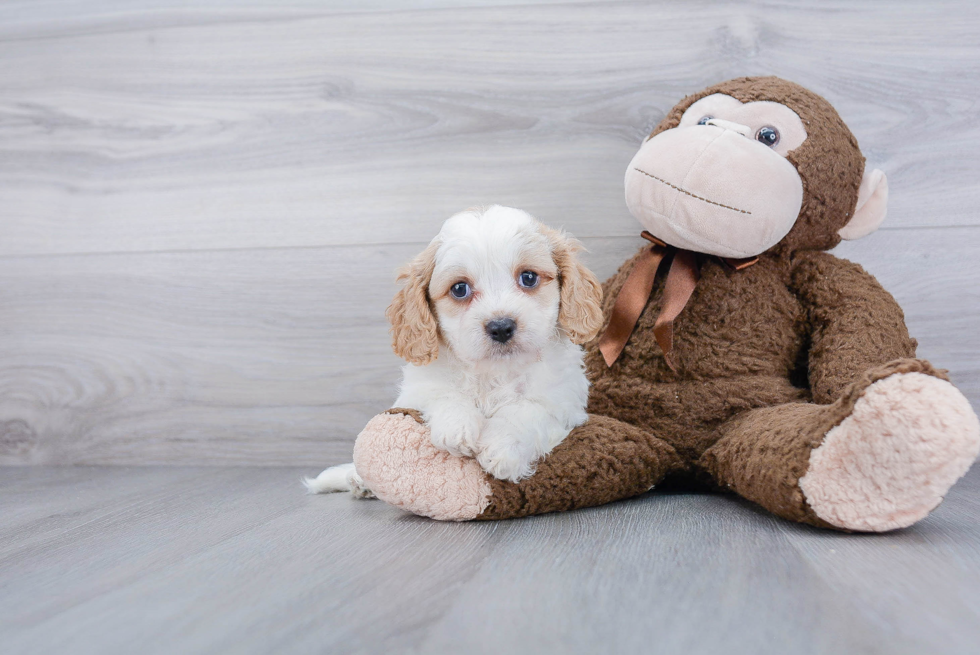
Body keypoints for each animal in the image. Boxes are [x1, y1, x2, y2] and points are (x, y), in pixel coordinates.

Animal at [306, 205, 600, 492]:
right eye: (460, 289)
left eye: (528, 277)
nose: (501, 327)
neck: (494, 372)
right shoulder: (418, 391)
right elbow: (443, 394)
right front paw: (457, 427)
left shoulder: (562, 402)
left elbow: (526, 411)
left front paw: (501, 448)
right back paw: (357, 480)